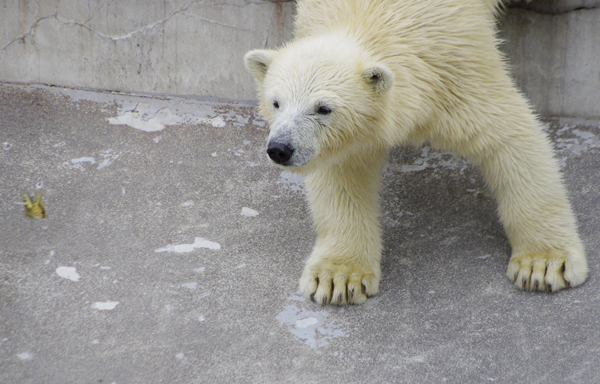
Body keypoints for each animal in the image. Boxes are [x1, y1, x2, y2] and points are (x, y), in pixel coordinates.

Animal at [245, 0, 592, 306]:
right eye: (276, 102)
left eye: (323, 108)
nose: (280, 148)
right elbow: (342, 177)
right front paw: (336, 278)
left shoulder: (456, 69)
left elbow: (511, 138)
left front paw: (545, 264)